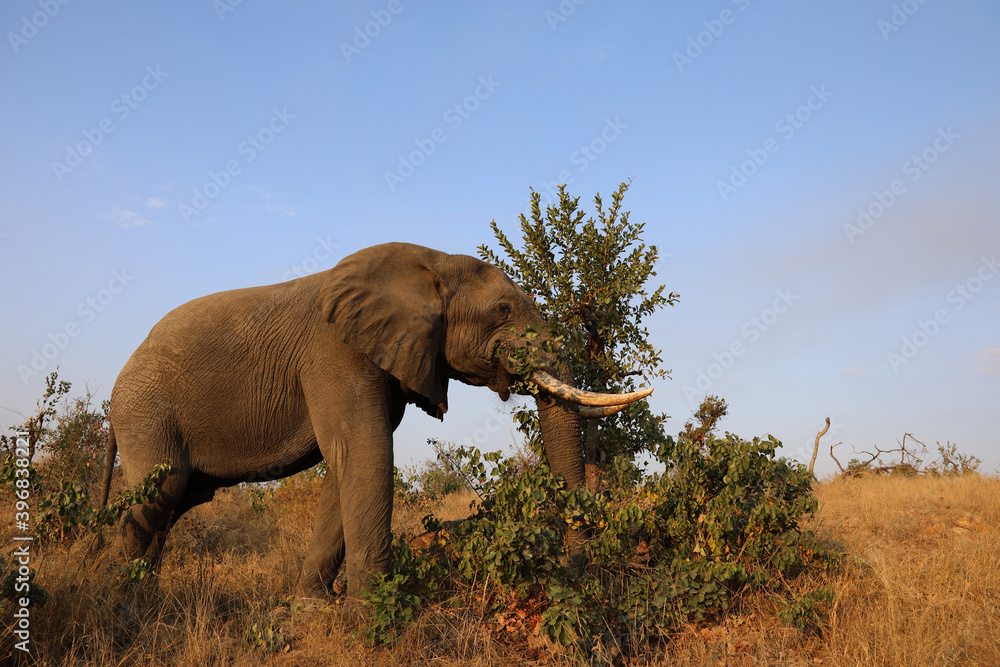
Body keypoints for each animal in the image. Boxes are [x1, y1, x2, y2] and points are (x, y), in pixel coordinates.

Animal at [98, 242, 650, 600]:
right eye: (501, 310)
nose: (579, 574)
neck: (429, 263)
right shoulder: (334, 352)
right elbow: (366, 454)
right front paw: (373, 615)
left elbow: (345, 467)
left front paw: (314, 608)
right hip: (147, 412)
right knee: (161, 493)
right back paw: (120, 597)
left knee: (174, 503)